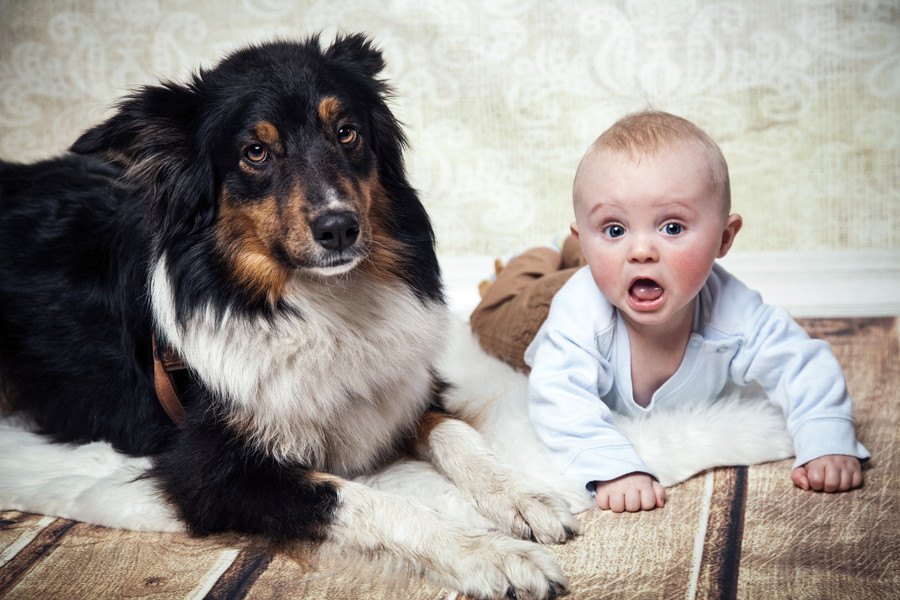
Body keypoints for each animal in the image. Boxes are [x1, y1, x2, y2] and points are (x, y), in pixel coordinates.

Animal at [0, 34, 576, 600]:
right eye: (255, 152)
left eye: (346, 132)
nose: (339, 228)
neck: (318, 305)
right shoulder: (209, 474)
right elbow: (368, 500)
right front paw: (492, 554)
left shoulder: (401, 392)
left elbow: (458, 435)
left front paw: (525, 496)